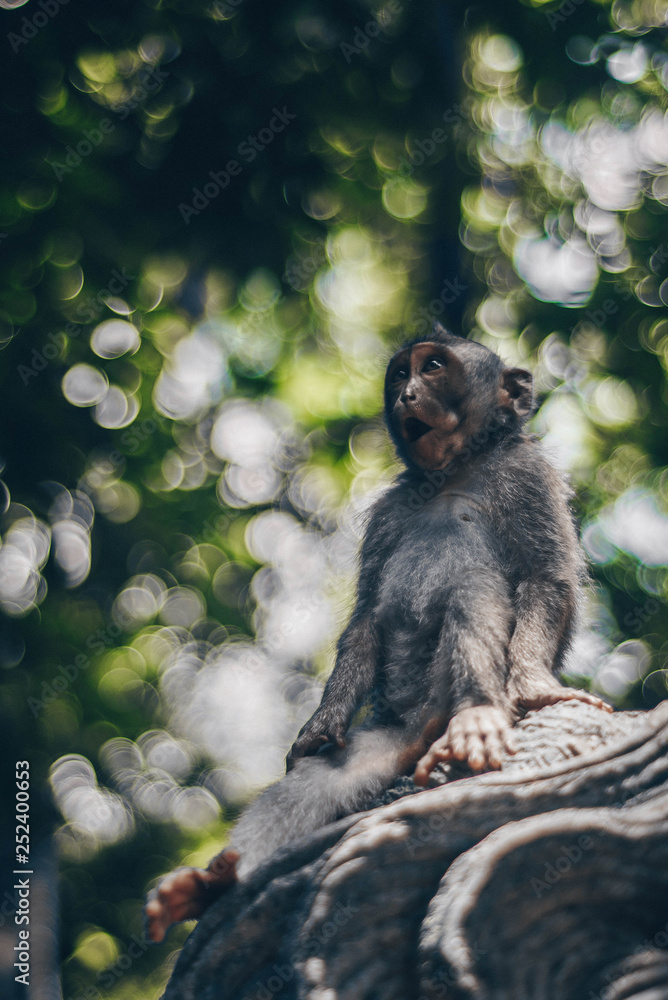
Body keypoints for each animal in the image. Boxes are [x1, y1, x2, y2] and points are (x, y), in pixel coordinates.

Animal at [145, 322, 611, 943]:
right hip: (386, 738)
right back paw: (208, 886)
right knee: (316, 783)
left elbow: (546, 577)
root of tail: (418, 732)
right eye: (399, 374)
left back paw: (476, 717)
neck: (453, 474)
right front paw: (320, 725)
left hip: (441, 696)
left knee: (473, 585)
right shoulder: (390, 509)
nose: (407, 394)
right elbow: (366, 617)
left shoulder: (529, 478)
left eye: (433, 367)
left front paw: (536, 686)